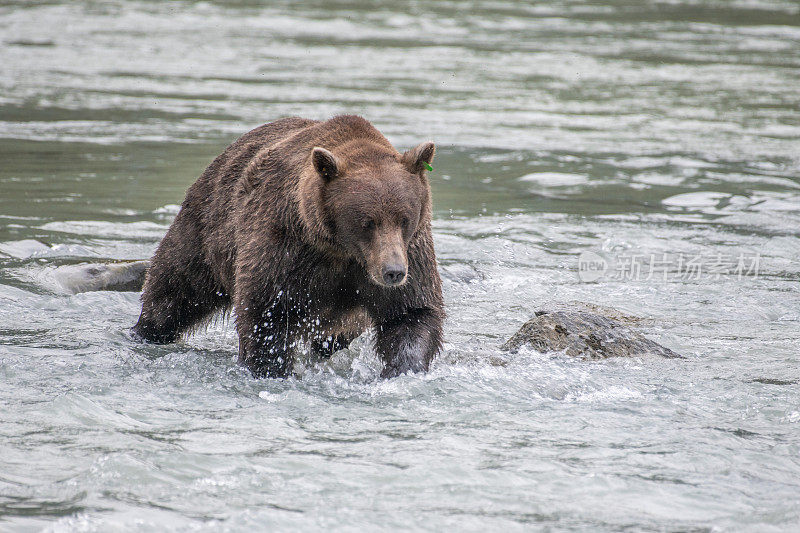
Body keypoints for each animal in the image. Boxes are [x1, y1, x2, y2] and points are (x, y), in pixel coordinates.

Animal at [131, 114, 444, 376]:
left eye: (404, 219)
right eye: (367, 222)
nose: (393, 272)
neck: (341, 250)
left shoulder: (410, 251)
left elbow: (411, 312)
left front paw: (402, 368)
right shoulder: (286, 244)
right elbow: (267, 311)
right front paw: (272, 369)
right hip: (207, 228)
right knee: (174, 288)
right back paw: (145, 331)